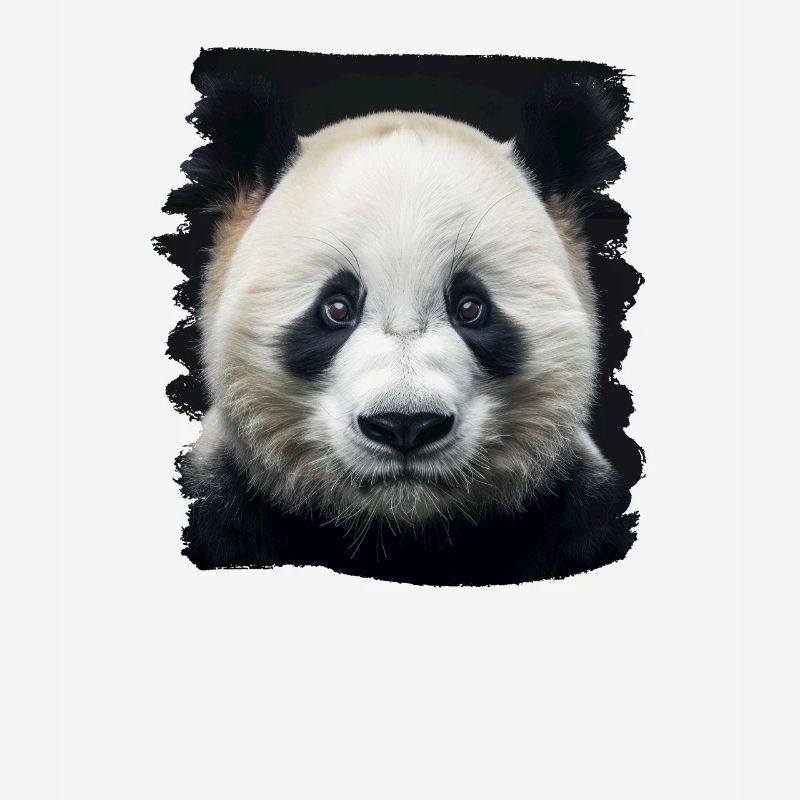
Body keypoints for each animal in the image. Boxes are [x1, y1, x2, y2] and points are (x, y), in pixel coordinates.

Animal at [166, 71, 638, 584]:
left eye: (471, 308)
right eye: (336, 308)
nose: (406, 425)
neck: (400, 533)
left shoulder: (576, 510)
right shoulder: (225, 502)